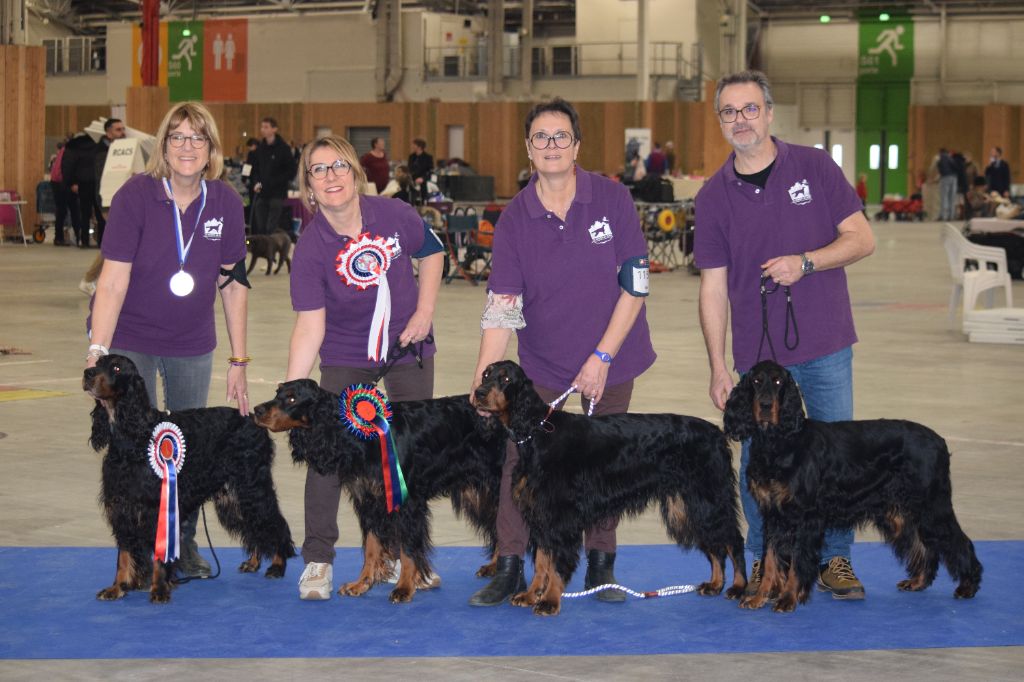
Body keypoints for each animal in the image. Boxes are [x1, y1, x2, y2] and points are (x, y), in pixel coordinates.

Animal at [84, 352, 294, 602]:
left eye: (116, 368)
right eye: (97, 363)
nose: (88, 373)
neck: (133, 437)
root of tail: (254, 419)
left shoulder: (155, 505)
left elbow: (158, 554)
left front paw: (159, 589)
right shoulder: (122, 503)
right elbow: (124, 555)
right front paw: (118, 587)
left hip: (252, 487)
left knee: (274, 522)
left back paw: (278, 564)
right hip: (232, 494)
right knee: (253, 526)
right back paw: (253, 562)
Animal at [253, 378, 505, 602]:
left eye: (292, 398)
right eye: (277, 392)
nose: (256, 409)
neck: (362, 436)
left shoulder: (407, 503)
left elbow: (407, 549)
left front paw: (404, 587)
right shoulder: (370, 501)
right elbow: (372, 547)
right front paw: (361, 584)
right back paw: (495, 567)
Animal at [471, 358, 745, 614]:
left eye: (506, 379)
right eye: (485, 374)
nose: (479, 393)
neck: (537, 430)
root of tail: (717, 433)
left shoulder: (560, 518)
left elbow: (556, 564)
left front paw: (549, 600)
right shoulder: (541, 513)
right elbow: (541, 561)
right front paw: (532, 594)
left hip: (709, 499)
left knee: (733, 540)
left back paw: (738, 587)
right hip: (692, 504)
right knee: (715, 545)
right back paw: (715, 584)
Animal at [724, 360, 978, 610]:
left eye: (778, 382)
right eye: (756, 381)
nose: (766, 405)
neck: (778, 442)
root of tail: (940, 441)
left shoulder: (805, 516)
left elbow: (797, 562)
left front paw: (788, 598)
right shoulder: (773, 514)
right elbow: (769, 560)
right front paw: (759, 597)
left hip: (931, 506)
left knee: (959, 541)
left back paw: (968, 585)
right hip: (903, 511)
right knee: (924, 543)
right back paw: (918, 581)